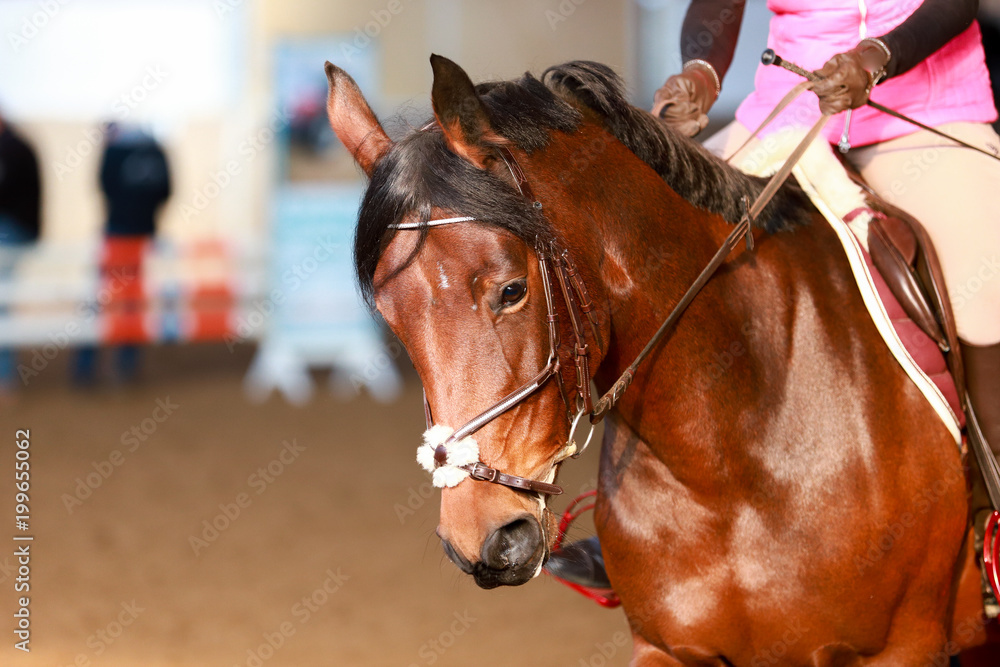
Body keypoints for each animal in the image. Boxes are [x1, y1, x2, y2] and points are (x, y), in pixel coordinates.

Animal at [324, 54, 997, 665]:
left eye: (512, 290)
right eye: (393, 321)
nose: (486, 538)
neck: (730, 454)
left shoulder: (902, 647)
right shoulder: (666, 648)